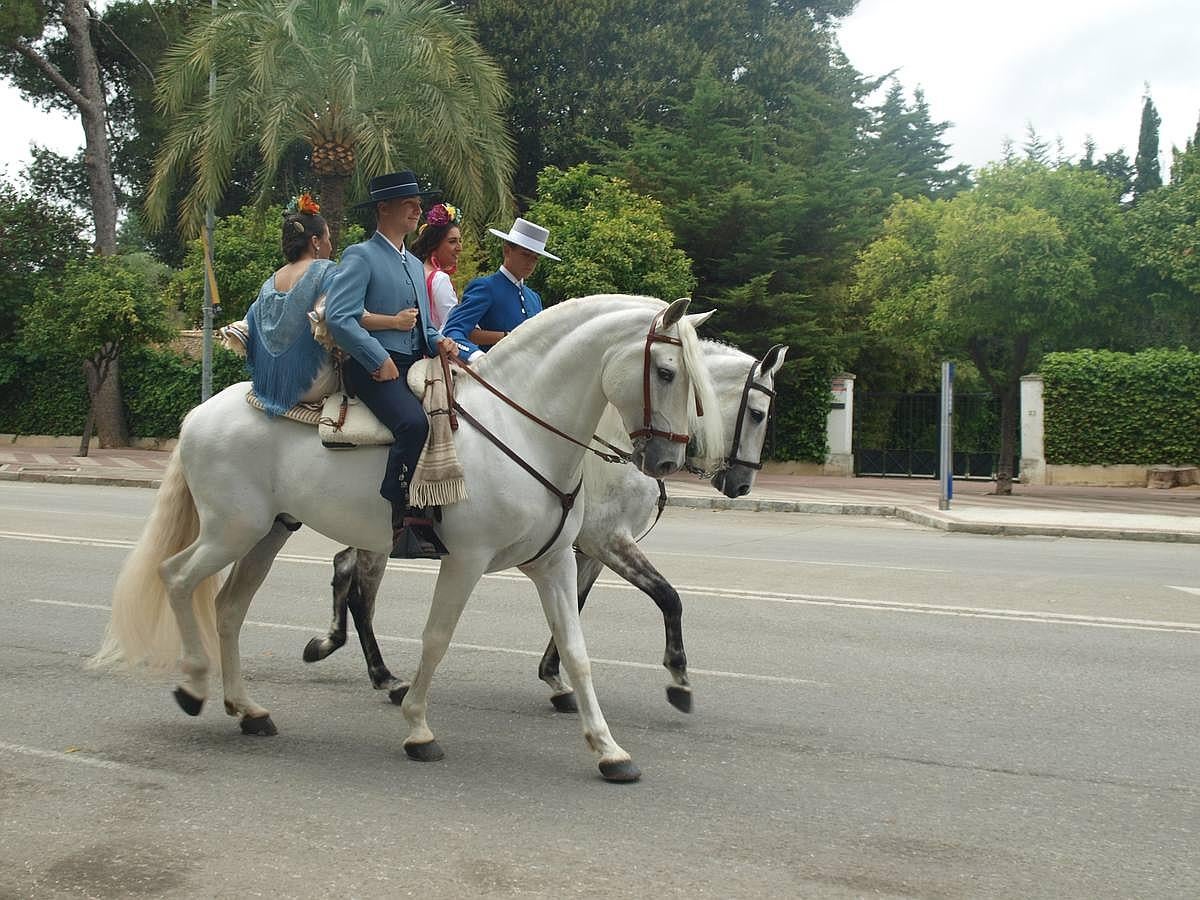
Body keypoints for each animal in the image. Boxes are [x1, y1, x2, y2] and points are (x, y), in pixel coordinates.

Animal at [91, 297, 720, 782]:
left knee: (228, 608)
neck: (522, 429)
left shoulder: (556, 563)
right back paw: (195, 687)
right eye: (668, 372)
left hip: (267, 534)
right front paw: (418, 727)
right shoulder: (466, 560)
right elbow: (436, 639)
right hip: (230, 531)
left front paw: (609, 750)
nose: (668, 462)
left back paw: (246, 709)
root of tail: (200, 412)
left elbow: (576, 651)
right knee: (176, 577)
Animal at [304, 340, 787, 715]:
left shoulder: (587, 549)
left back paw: (335, 645)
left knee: (344, 569)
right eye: (758, 413)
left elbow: (576, 604)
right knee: (360, 592)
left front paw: (556, 678)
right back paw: (382, 674)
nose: (742, 484)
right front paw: (678, 678)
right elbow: (668, 596)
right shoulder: (608, 540)